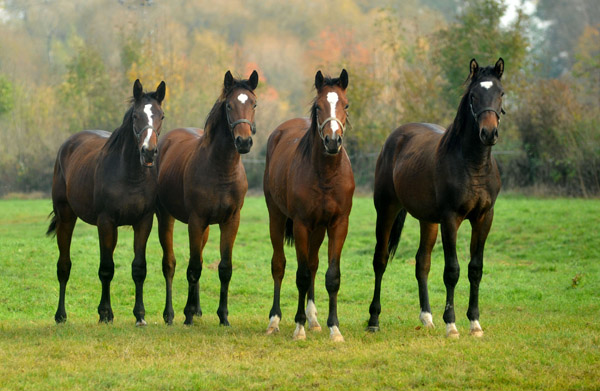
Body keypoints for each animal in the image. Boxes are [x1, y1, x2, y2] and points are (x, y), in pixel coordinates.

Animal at [47, 79, 166, 324]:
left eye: (161, 115)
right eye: (135, 116)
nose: (149, 152)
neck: (130, 175)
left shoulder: (143, 222)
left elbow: (139, 268)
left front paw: (140, 315)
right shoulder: (106, 222)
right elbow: (106, 268)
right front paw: (105, 313)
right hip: (66, 217)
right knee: (64, 265)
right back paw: (61, 315)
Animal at [157, 71, 258, 328]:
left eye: (254, 104)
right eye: (229, 105)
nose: (244, 142)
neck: (221, 169)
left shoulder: (230, 221)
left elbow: (224, 268)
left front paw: (223, 316)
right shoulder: (196, 221)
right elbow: (193, 268)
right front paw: (187, 315)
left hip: (206, 229)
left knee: (200, 258)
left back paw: (197, 308)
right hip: (165, 217)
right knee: (170, 264)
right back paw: (171, 314)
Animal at [264, 70, 356, 344]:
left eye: (346, 105)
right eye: (318, 106)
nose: (333, 141)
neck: (325, 174)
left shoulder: (338, 225)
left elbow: (331, 276)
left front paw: (334, 328)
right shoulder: (302, 225)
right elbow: (301, 276)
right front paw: (299, 327)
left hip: (318, 230)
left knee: (314, 265)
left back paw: (314, 319)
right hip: (277, 217)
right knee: (279, 265)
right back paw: (275, 321)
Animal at [368, 59, 504, 340]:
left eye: (501, 93)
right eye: (473, 95)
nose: (489, 133)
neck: (473, 164)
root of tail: (396, 136)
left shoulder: (484, 218)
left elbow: (475, 268)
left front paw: (475, 323)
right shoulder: (451, 219)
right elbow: (452, 270)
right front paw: (451, 324)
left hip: (428, 221)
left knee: (422, 262)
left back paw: (427, 317)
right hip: (386, 210)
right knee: (380, 260)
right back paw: (374, 320)